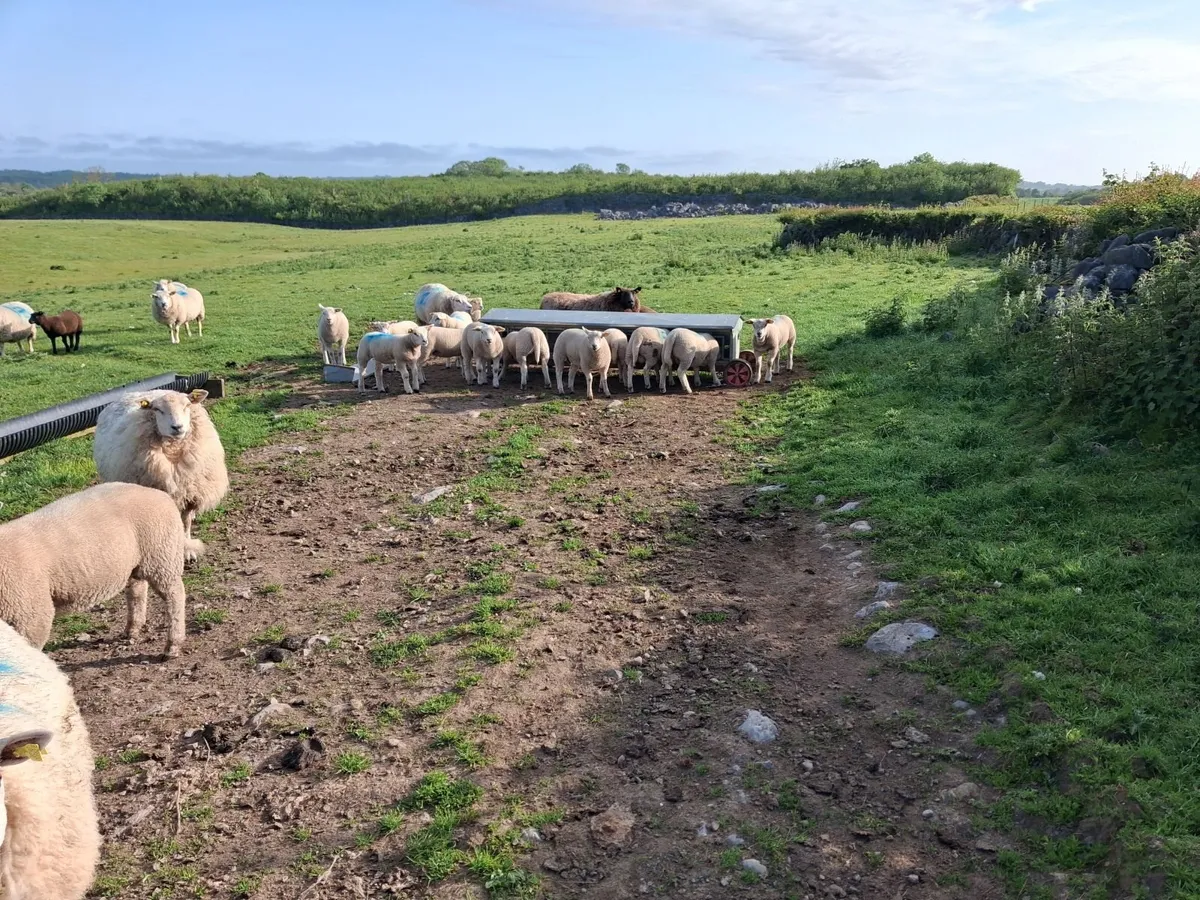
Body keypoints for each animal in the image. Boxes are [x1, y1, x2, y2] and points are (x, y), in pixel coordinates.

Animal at [0, 482, 203, 658]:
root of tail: (161, 495)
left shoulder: (31, 616)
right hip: (137, 561)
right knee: (137, 590)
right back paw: (132, 629)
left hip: (161, 556)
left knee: (175, 596)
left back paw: (172, 645)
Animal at [93, 388, 230, 543]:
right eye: (158, 410)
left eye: (187, 405)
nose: (177, 427)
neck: (174, 451)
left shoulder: (190, 495)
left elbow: (186, 522)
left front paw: (187, 541)